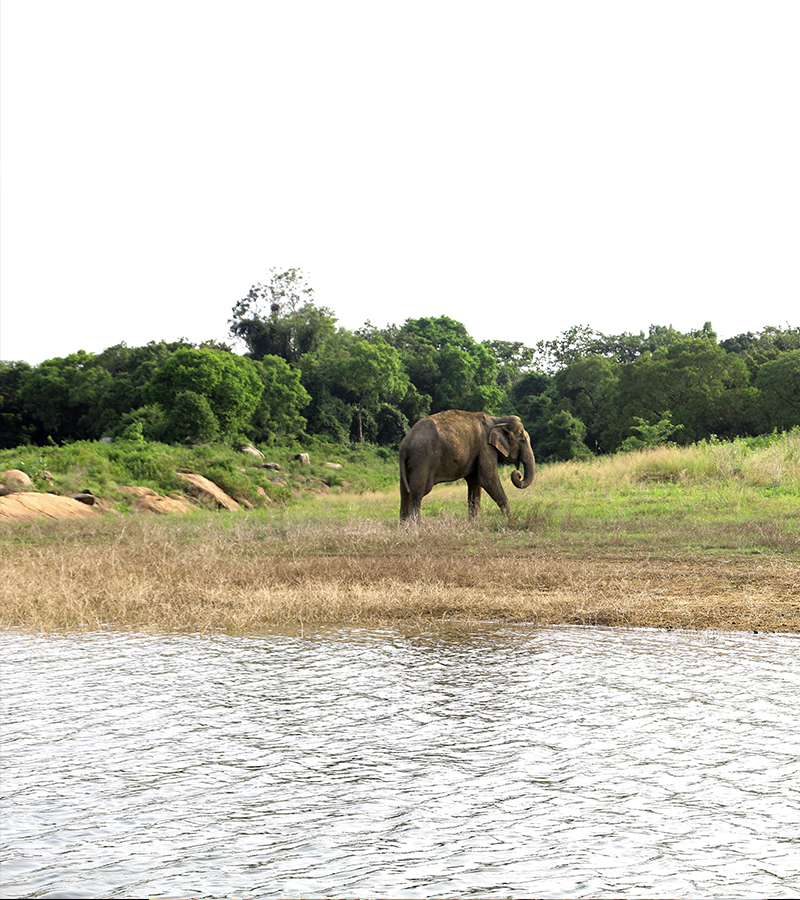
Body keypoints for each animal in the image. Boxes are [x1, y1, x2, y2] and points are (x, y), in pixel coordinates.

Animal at [399, 410, 535, 521]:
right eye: (522, 440)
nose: (518, 474)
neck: (498, 419)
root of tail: (405, 444)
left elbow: (475, 482)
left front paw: (473, 523)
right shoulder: (486, 447)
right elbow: (487, 479)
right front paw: (510, 520)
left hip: (409, 463)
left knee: (405, 493)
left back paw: (404, 527)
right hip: (422, 459)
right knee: (417, 492)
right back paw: (415, 526)